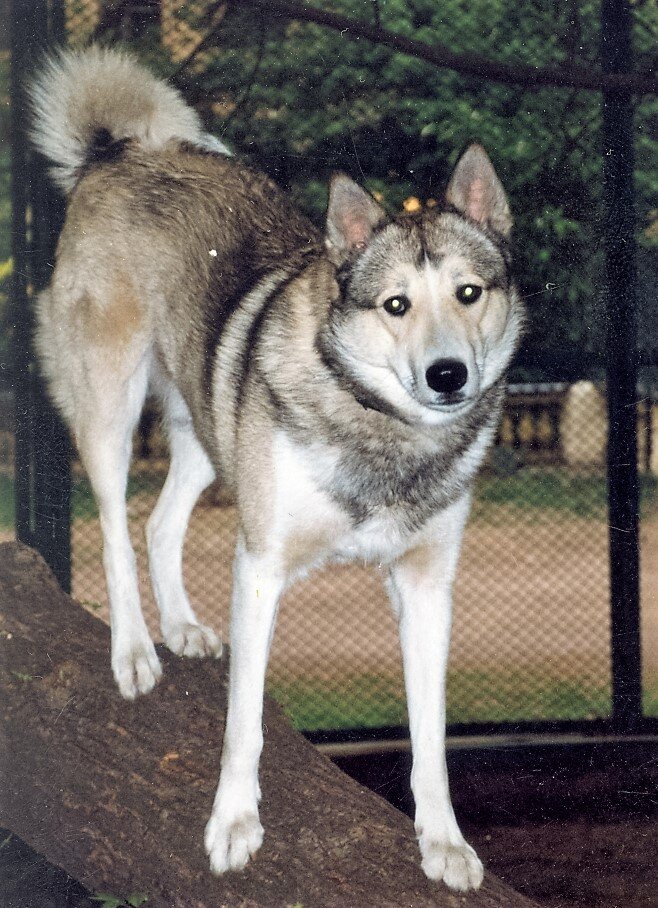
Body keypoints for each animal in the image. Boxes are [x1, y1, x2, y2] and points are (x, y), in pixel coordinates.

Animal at [29, 46, 524, 892]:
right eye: (396, 305)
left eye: (469, 292)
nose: (449, 376)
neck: (377, 428)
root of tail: (120, 154)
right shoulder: (259, 567)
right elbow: (244, 725)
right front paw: (233, 824)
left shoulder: (427, 589)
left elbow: (429, 739)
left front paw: (443, 841)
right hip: (111, 404)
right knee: (116, 532)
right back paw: (134, 650)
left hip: (206, 426)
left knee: (159, 524)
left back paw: (181, 626)